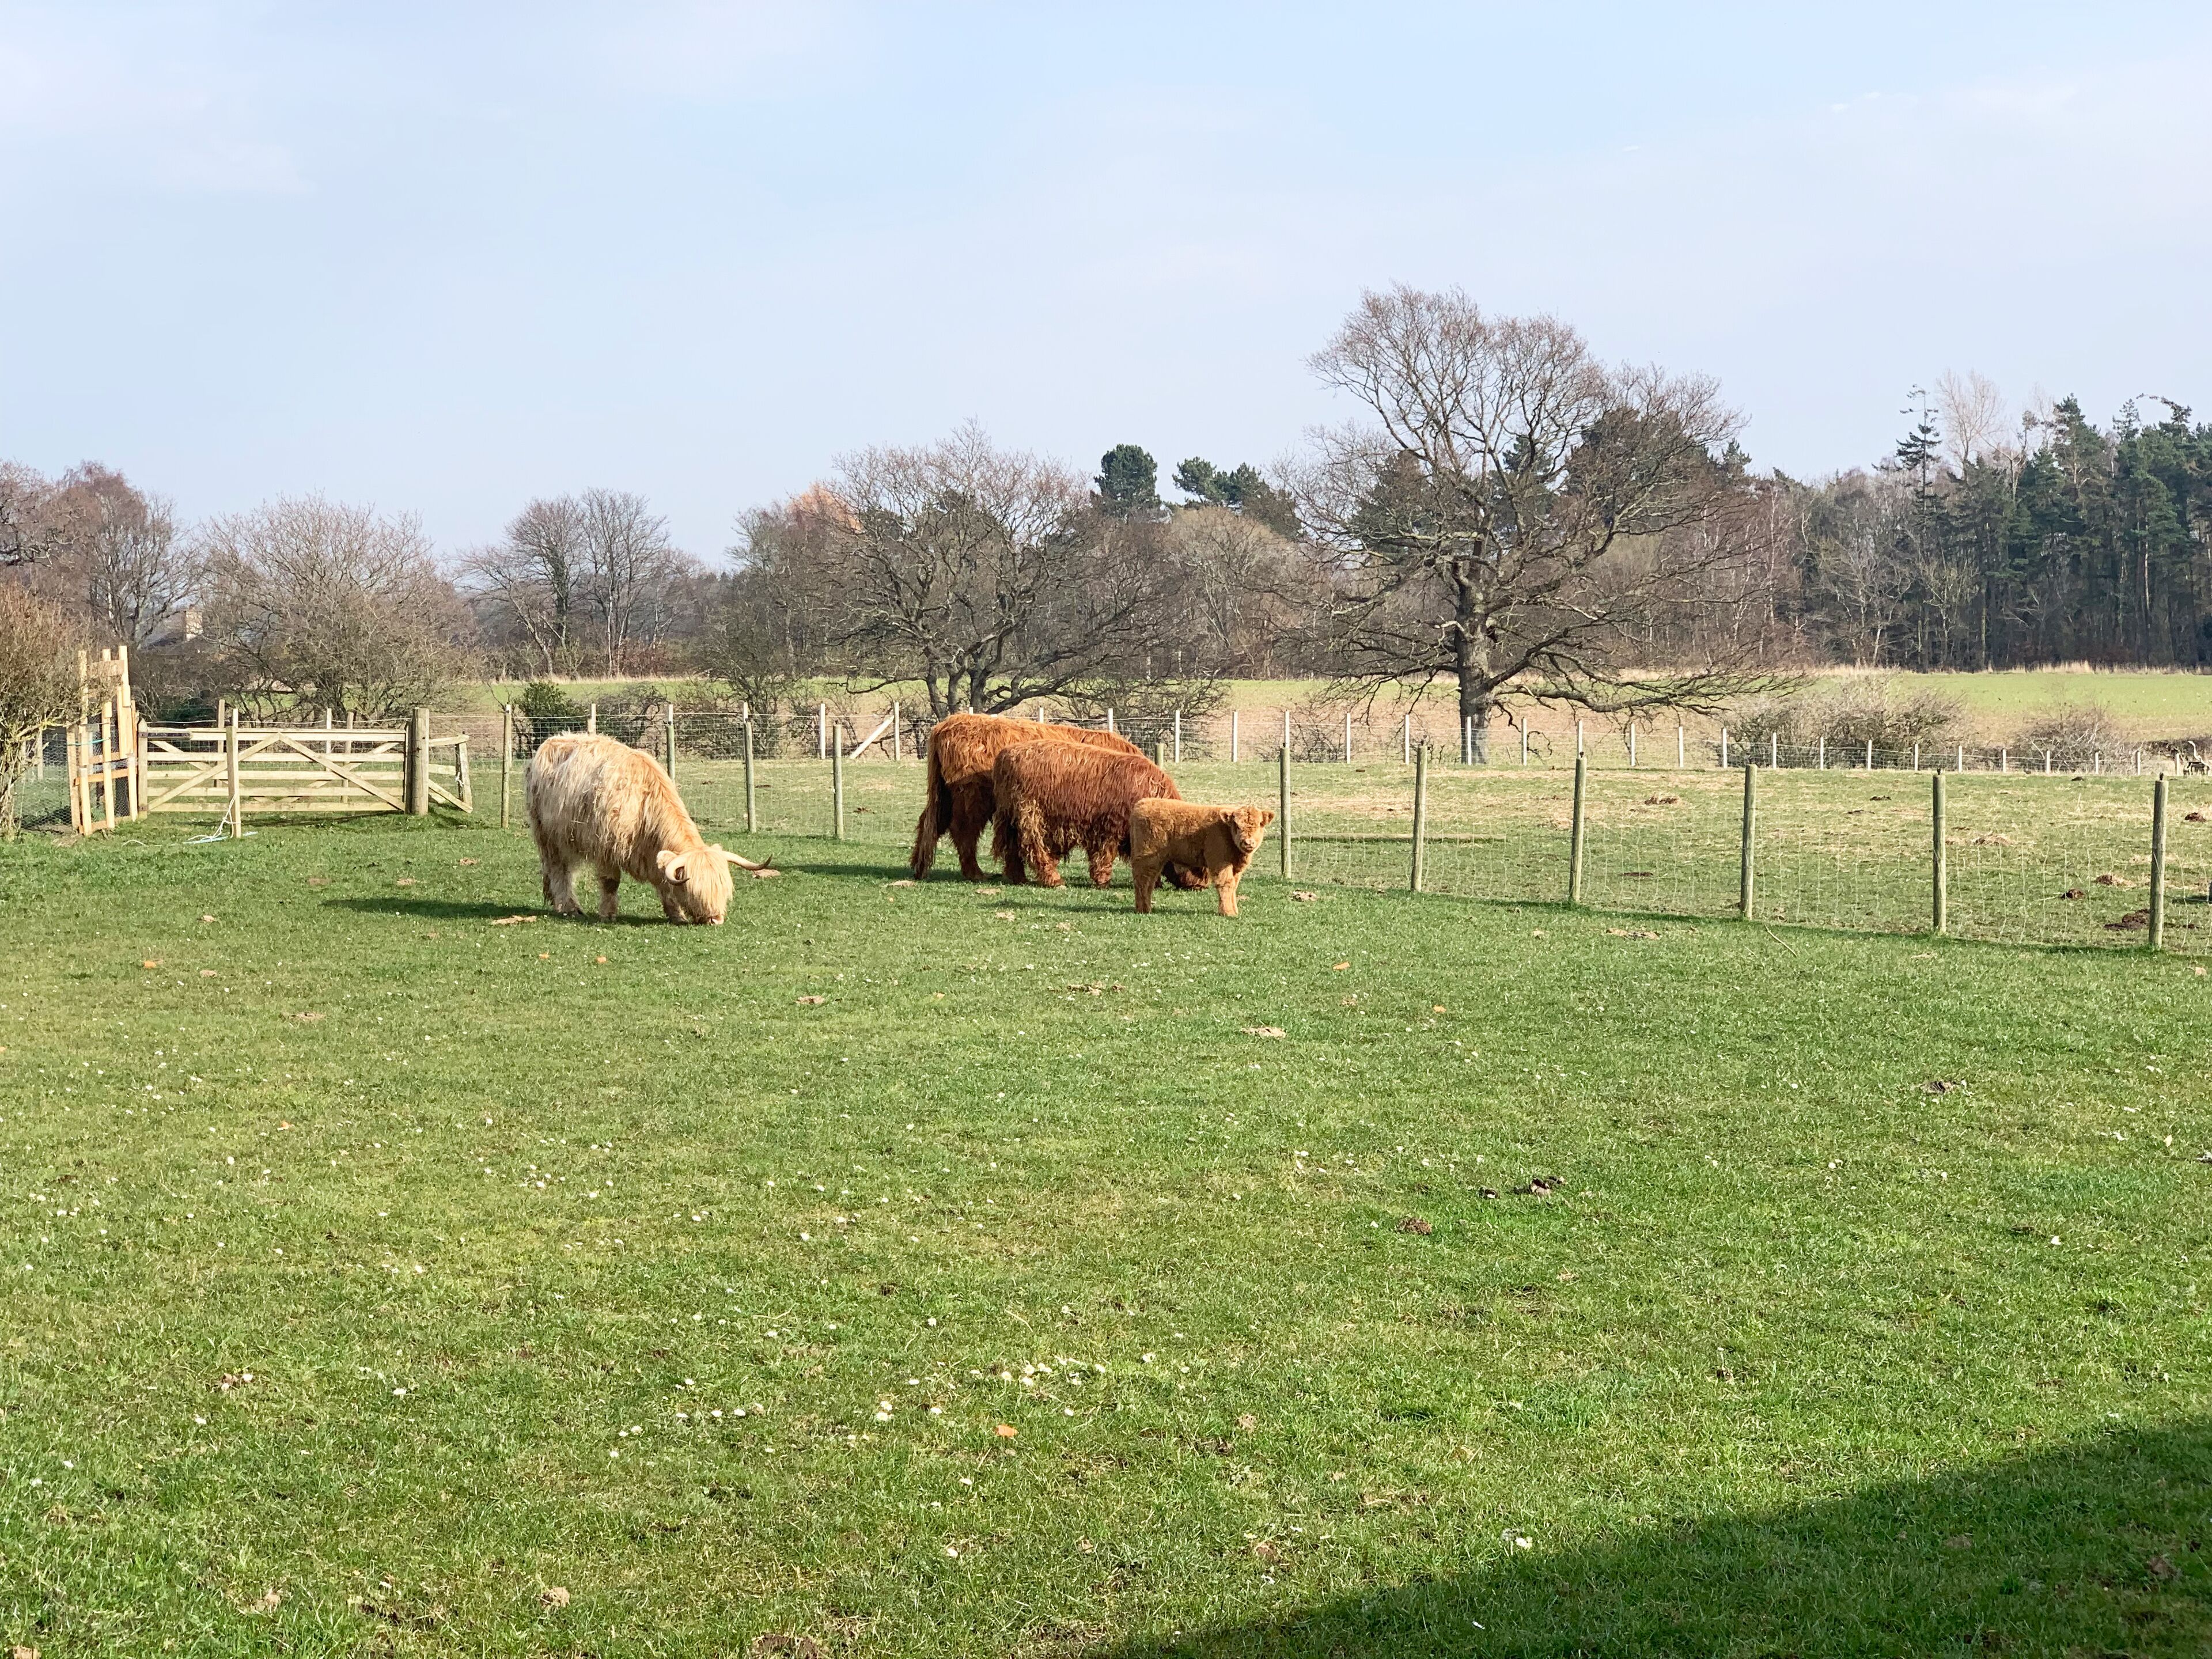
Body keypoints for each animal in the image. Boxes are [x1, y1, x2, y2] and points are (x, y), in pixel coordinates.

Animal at [527, 732, 764, 924]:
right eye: (694, 890)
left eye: (723, 890)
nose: (716, 920)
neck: (644, 803)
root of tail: (551, 740)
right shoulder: (606, 847)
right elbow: (611, 882)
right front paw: (608, 914)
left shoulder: (654, 854)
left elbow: (665, 883)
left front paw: (676, 915)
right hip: (548, 836)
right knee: (559, 870)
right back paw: (569, 907)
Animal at [909, 712, 1141, 880]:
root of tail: (946, 725)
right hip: (972, 797)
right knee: (963, 831)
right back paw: (975, 873)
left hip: (945, 796)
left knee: (930, 823)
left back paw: (919, 866)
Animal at [990, 740, 1186, 889]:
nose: (1196, 885)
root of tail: (1006, 755)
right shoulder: (1109, 829)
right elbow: (1105, 856)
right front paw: (1102, 881)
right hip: (1031, 816)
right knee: (1033, 847)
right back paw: (1054, 880)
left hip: (1011, 818)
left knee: (1013, 849)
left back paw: (1019, 878)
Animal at [1129, 799, 1274, 917]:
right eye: (1237, 826)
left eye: (1260, 824)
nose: (1248, 842)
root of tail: (1142, 804)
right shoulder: (1220, 862)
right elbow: (1226, 884)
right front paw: (1228, 912)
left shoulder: (1235, 868)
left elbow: (1234, 886)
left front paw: (1235, 910)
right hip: (1148, 858)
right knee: (1143, 881)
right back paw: (1144, 909)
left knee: (1149, 881)